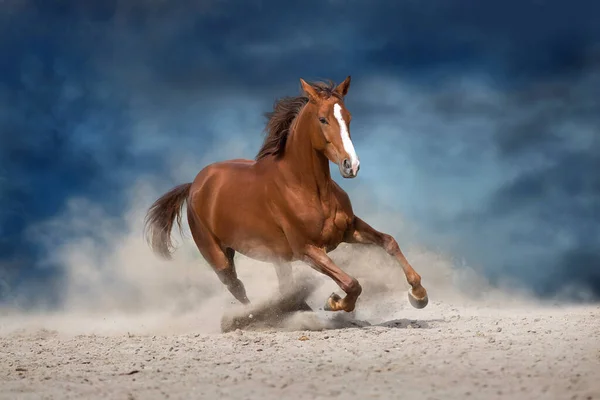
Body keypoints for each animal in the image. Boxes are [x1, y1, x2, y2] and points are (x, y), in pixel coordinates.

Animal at [144, 76, 428, 312]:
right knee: (237, 287)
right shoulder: (307, 250)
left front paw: (418, 294)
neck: (309, 190)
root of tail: (195, 184)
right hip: (218, 257)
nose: (352, 165)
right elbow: (352, 283)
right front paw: (334, 303)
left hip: (276, 257)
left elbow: (389, 242)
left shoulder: (349, 230)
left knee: (283, 286)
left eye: (348, 117)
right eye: (323, 119)